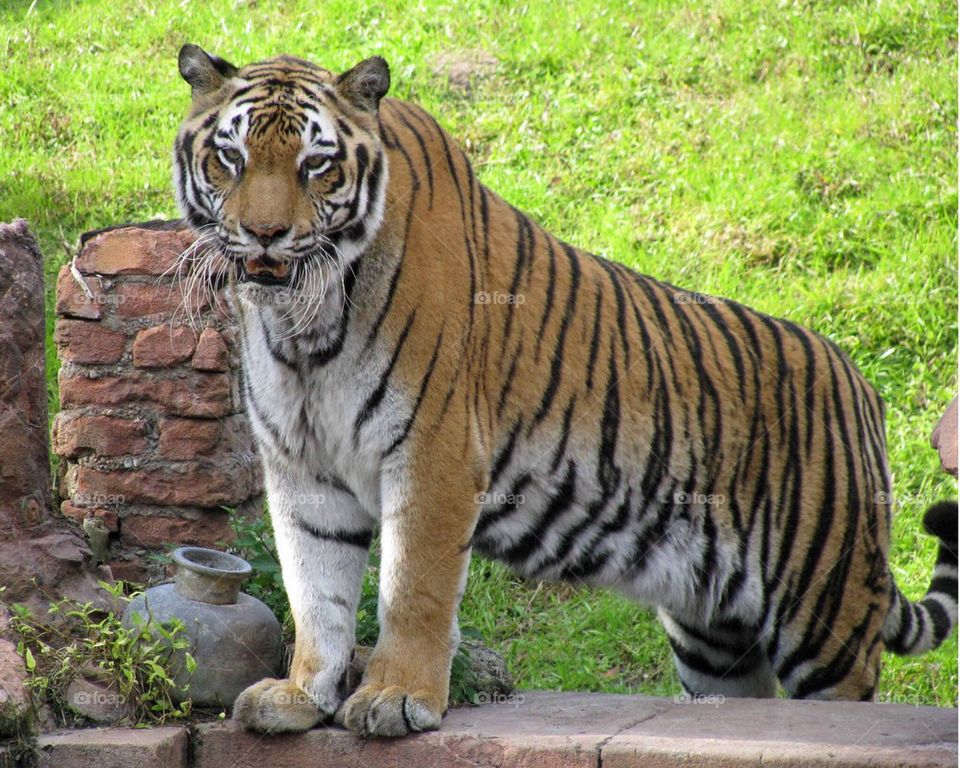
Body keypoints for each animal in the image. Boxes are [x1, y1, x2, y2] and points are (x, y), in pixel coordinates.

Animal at [172, 44, 958, 737]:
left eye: (317, 165)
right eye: (231, 157)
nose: (265, 234)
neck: (302, 322)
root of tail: (859, 384)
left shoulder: (436, 454)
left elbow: (412, 591)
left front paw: (396, 699)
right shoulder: (302, 471)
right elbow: (317, 593)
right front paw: (302, 697)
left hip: (823, 613)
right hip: (715, 638)